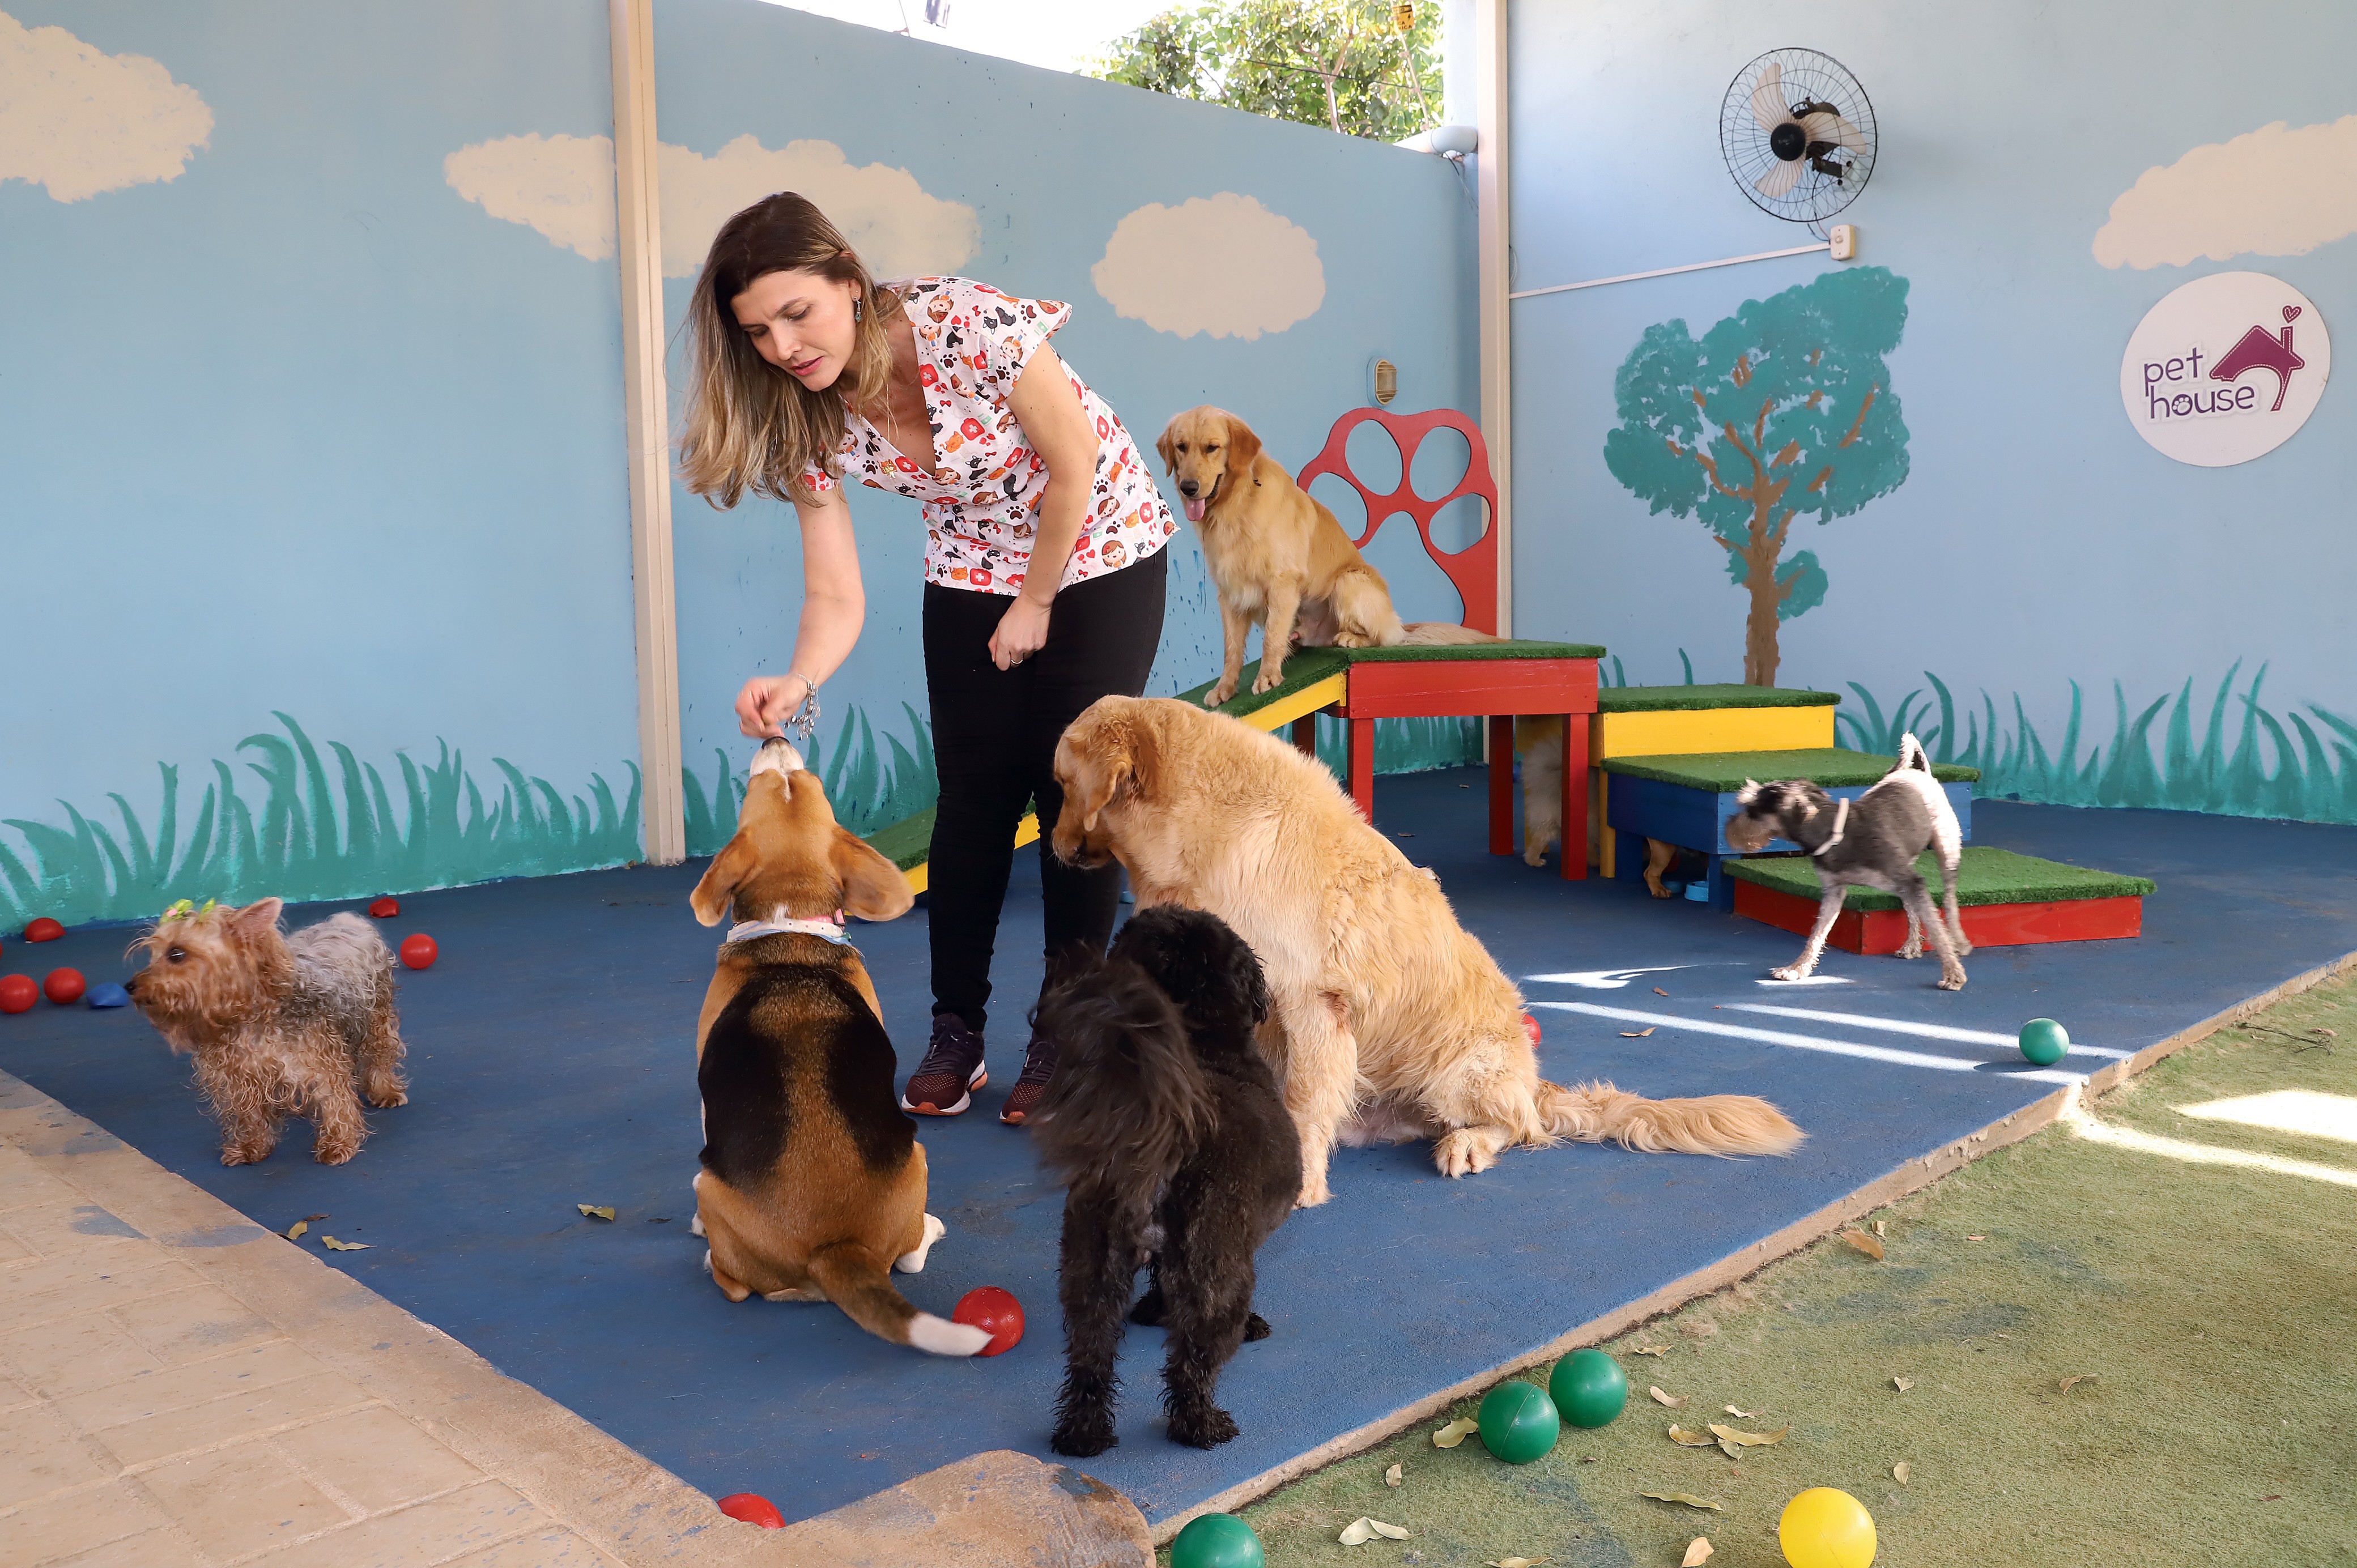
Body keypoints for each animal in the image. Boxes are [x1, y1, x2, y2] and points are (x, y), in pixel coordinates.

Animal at [1037, 905, 1310, 1452]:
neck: (1205, 1047)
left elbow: (1161, 1281)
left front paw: (1152, 1308)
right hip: (1216, 1278)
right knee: (1191, 1364)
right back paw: (1201, 1425)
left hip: (1092, 1271)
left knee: (1090, 1358)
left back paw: (1083, 1432)